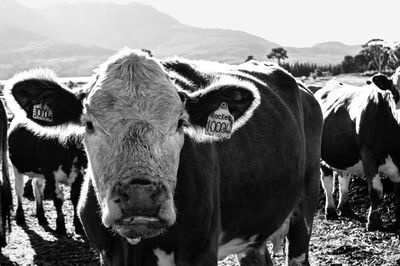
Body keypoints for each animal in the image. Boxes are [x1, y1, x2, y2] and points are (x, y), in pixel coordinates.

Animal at [4, 50, 324, 266]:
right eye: (89, 124)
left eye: (180, 122)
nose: (140, 196)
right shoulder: (108, 252)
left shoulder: (200, 252)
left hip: (305, 211)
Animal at [314, 74, 400, 231]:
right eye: (394, 91)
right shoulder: (368, 154)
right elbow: (376, 190)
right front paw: (373, 221)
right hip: (322, 157)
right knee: (327, 182)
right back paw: (330, 211)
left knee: (344, 178)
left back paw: (345, 208)